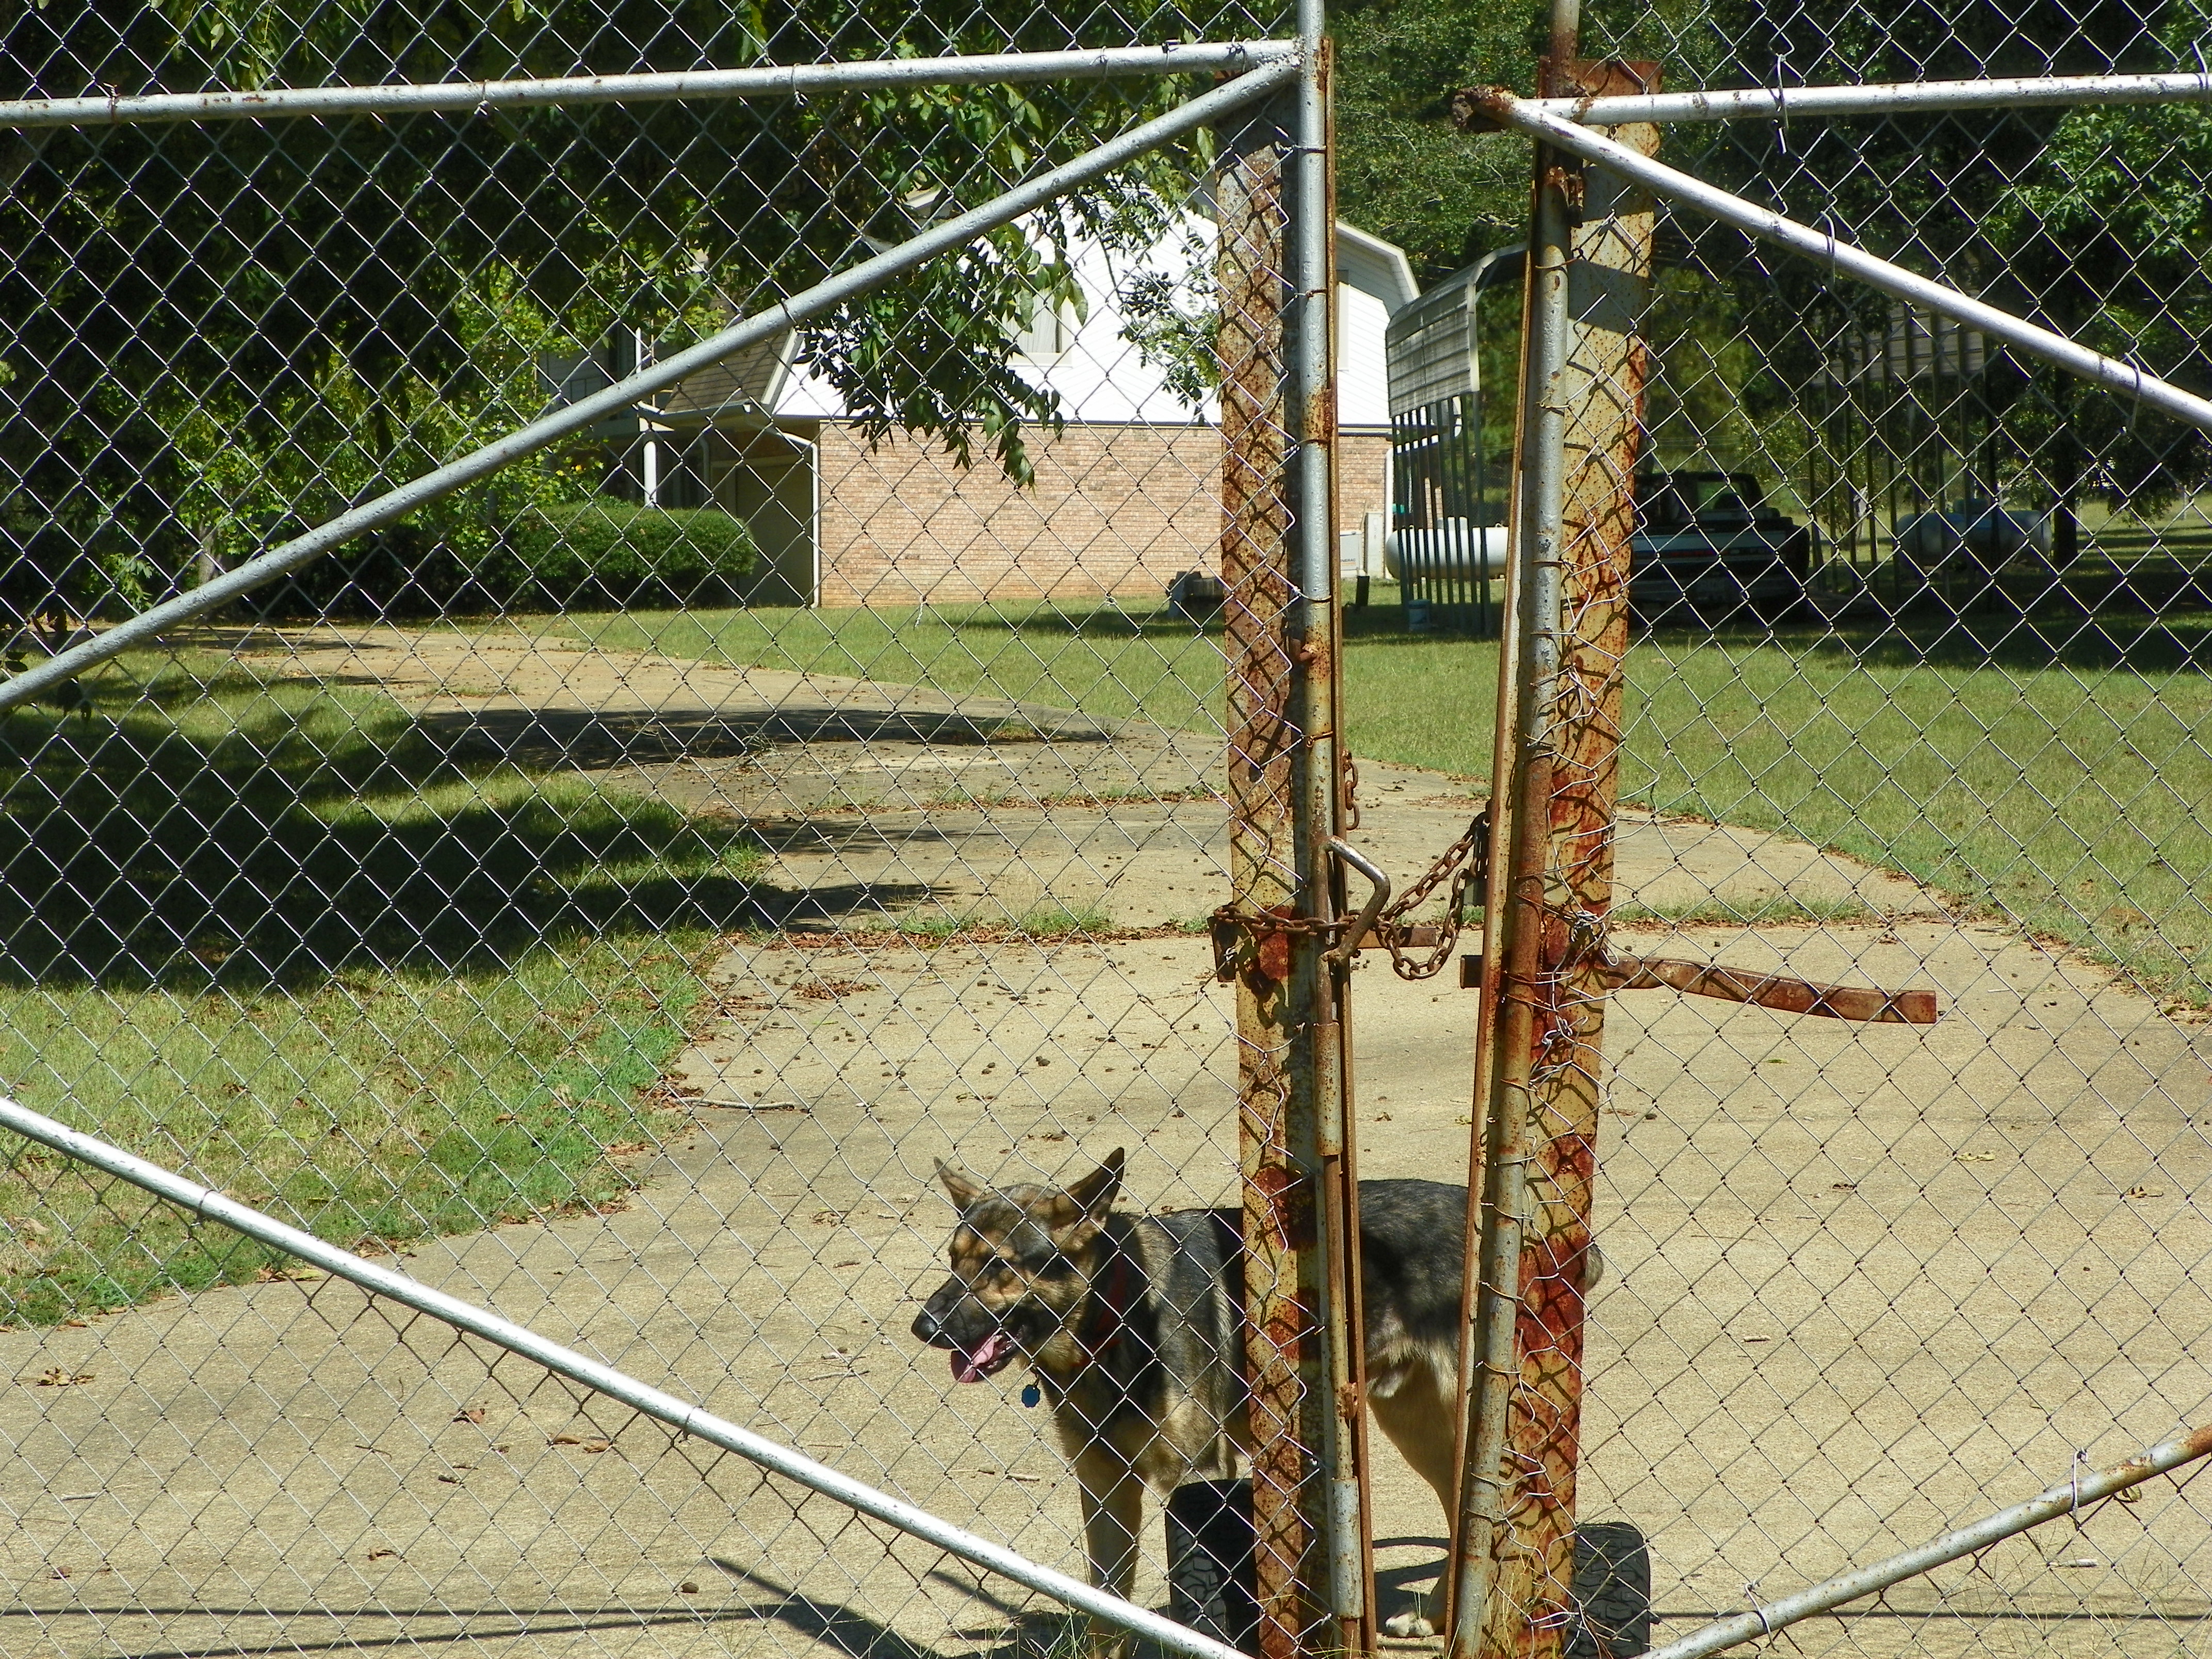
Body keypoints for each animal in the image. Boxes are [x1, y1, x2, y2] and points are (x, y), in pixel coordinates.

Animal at [910, 1147, 1474, 1649]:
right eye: (954, 1260)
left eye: (997, 1265)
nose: (924, 1328)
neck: (1115, 1315)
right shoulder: (1104, 1487)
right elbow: (1106, 1609)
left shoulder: (1199, 1476)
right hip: (1414, 1429)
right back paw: (1434, 1618)